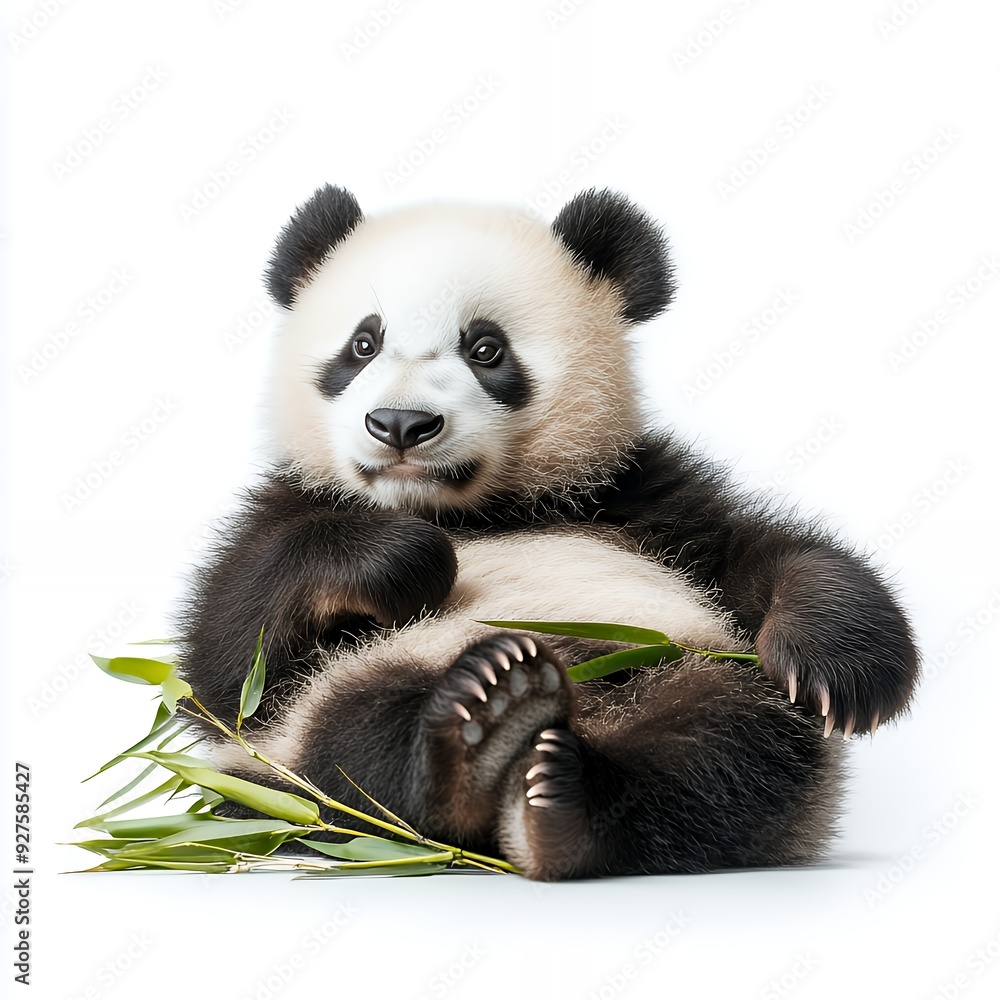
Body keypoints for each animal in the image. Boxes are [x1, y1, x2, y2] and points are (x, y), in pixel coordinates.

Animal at [180, 184, 919, 881]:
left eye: (486, 348)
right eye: (364, 344)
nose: (401, 424)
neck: (473, 509)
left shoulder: (643, 500)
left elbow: (763, 556)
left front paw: (841, 670)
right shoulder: (289, 504)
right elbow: (229, 671)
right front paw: (406, 558)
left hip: (684, 664)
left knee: (730, 750)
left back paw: (563, 804)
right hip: (327, 728)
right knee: (353, 752)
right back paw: (480, 729)